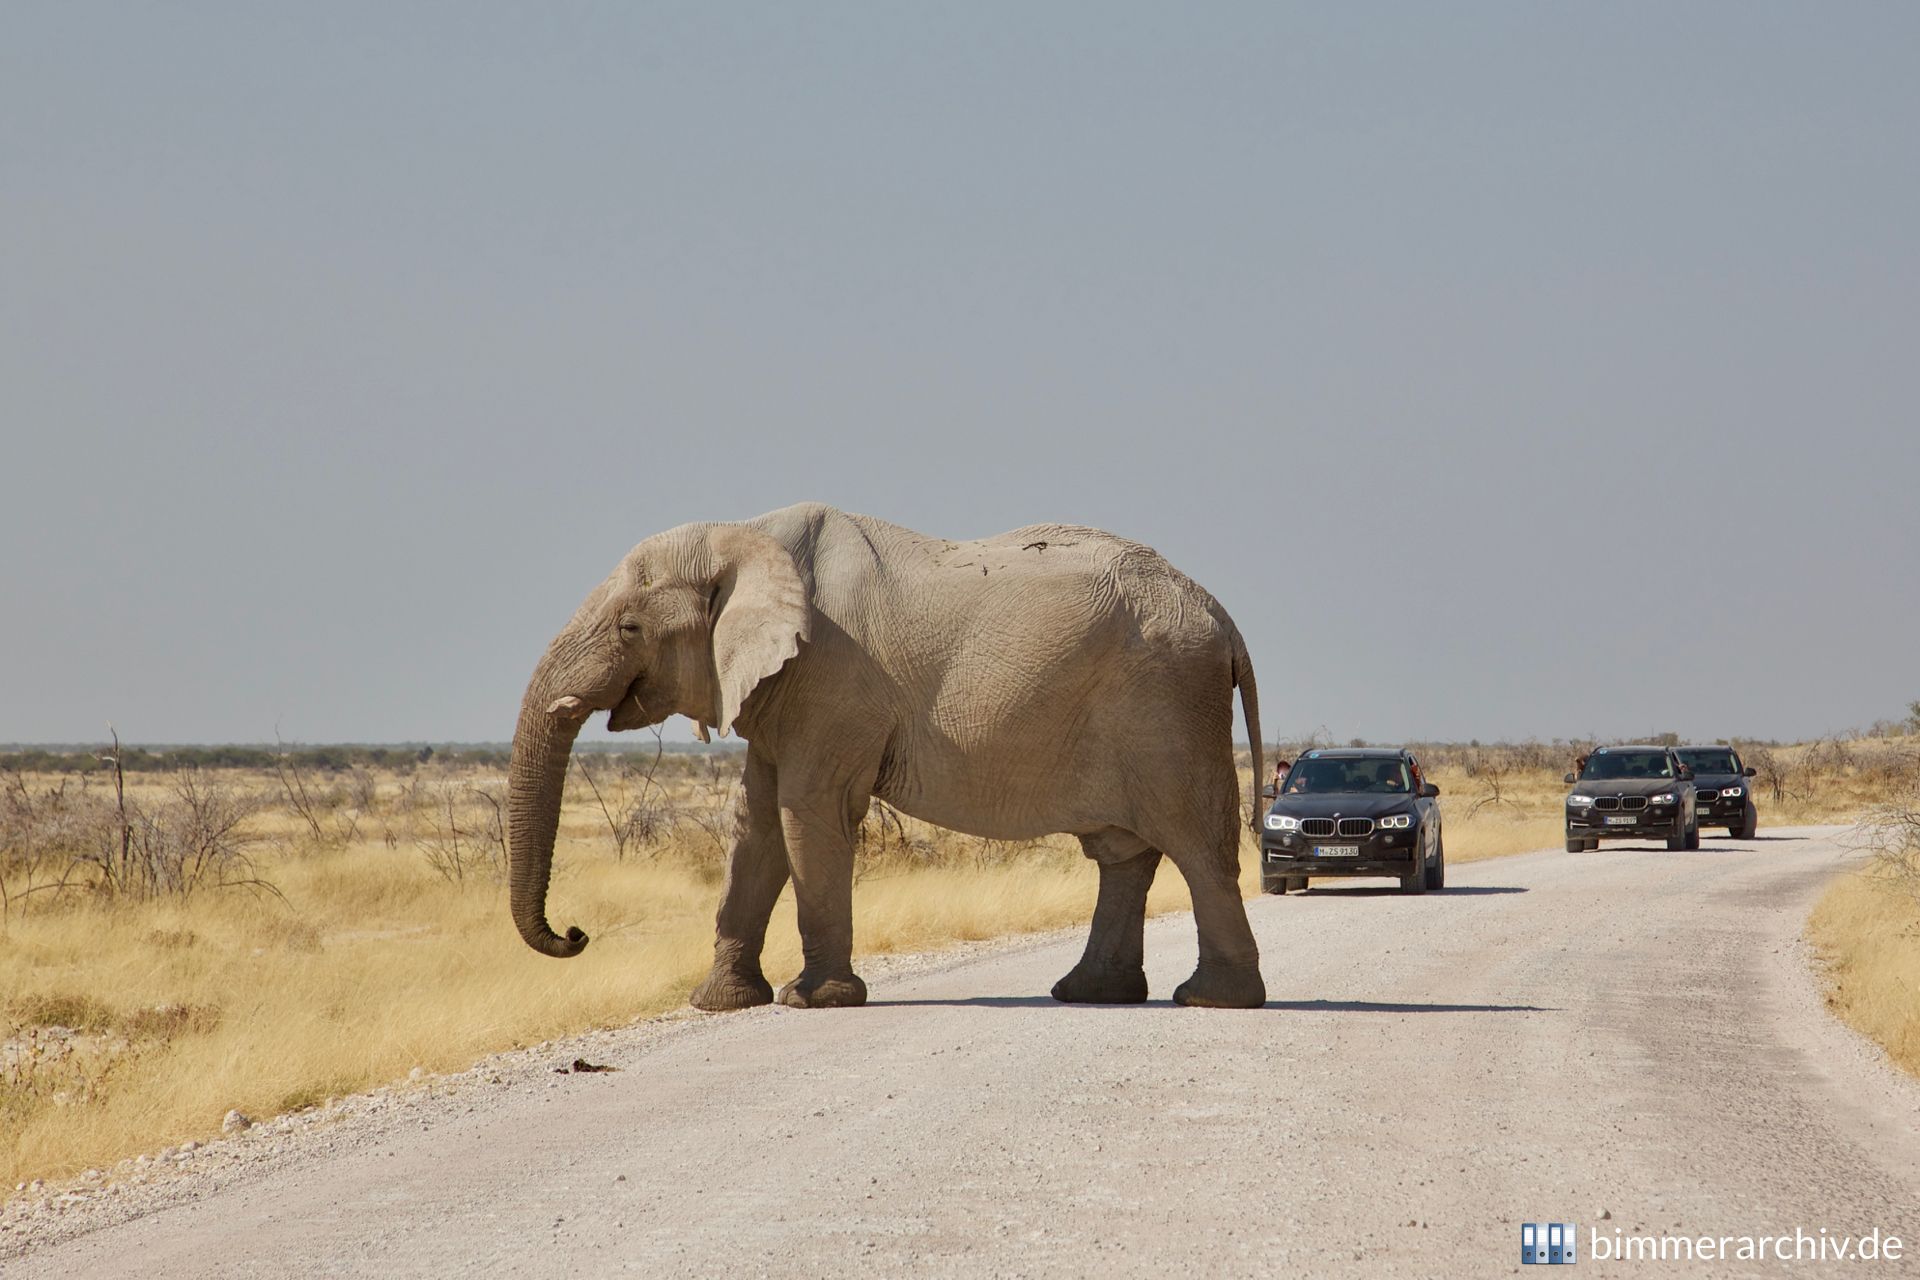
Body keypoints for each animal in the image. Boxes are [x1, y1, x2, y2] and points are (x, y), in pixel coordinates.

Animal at [503, 498, 1267, 1013]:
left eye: (629, 627)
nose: (576, 933)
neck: (748, 536)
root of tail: (1224, 618)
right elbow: (757, 825)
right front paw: (719, 1003)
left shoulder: (833, 678)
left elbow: (807, 811)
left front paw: (814, 1001)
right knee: (1124, 853)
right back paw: (1091, 994)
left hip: (1169, 703)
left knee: (1197, 847)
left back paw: (1211, 1001)